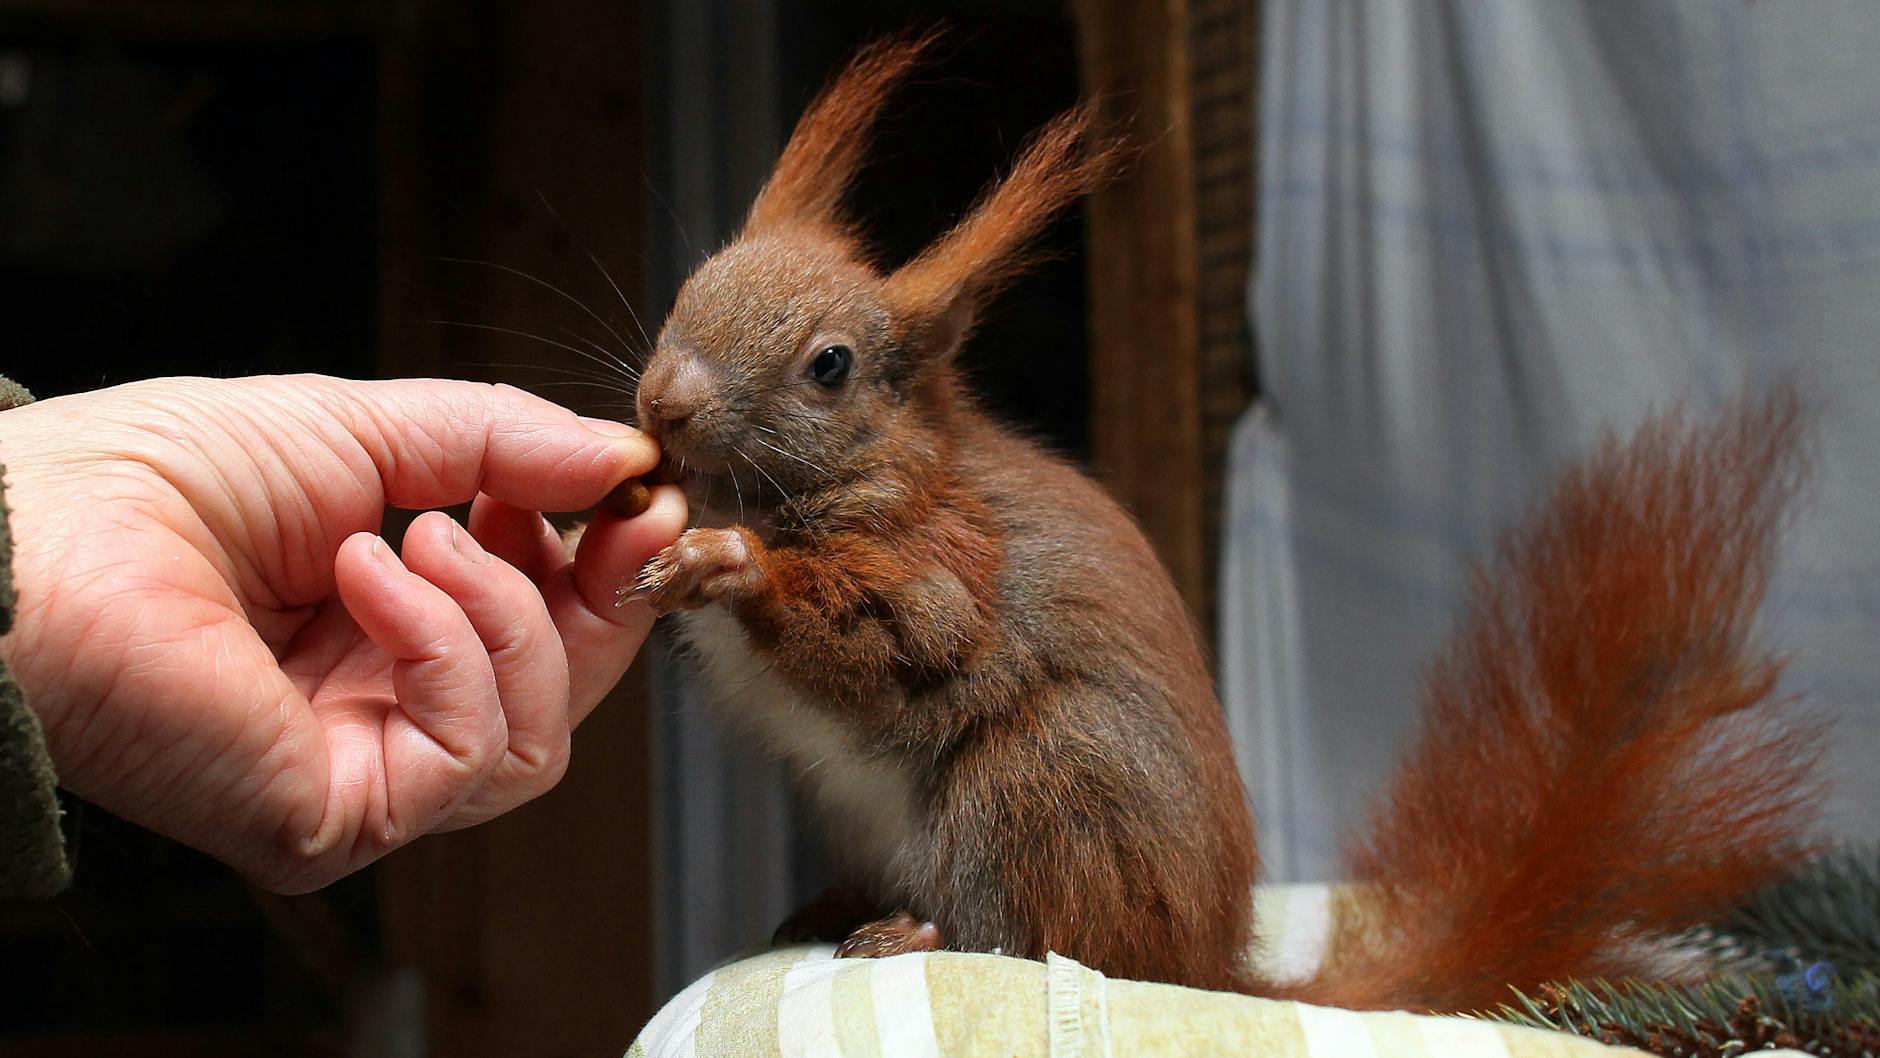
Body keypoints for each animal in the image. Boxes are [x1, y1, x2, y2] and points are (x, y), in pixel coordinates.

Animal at [623, 33, 1821, 1011]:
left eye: (827, 367)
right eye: (693, 281)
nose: (663, 403)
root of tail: (1204, 960)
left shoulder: (943, 568)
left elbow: (886, 642)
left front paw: (730, 562)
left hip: (1039, 785)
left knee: (1027, 934)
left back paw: (909, 927)